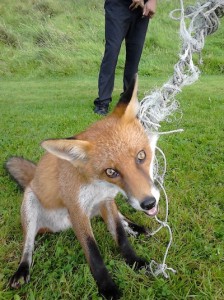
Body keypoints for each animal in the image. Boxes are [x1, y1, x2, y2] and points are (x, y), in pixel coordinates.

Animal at [5, 75, 159, 300]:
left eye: (141, 155)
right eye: (111, 171)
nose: (149, 203)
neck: (97, 186)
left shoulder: (106, 200)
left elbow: (120, 235)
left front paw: (135, 261)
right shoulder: (77, 211)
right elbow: (93, 253)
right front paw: (108, 288)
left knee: (120, 219)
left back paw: (135, 227)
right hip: (30, 206)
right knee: (28, 245)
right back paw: (22, 269)